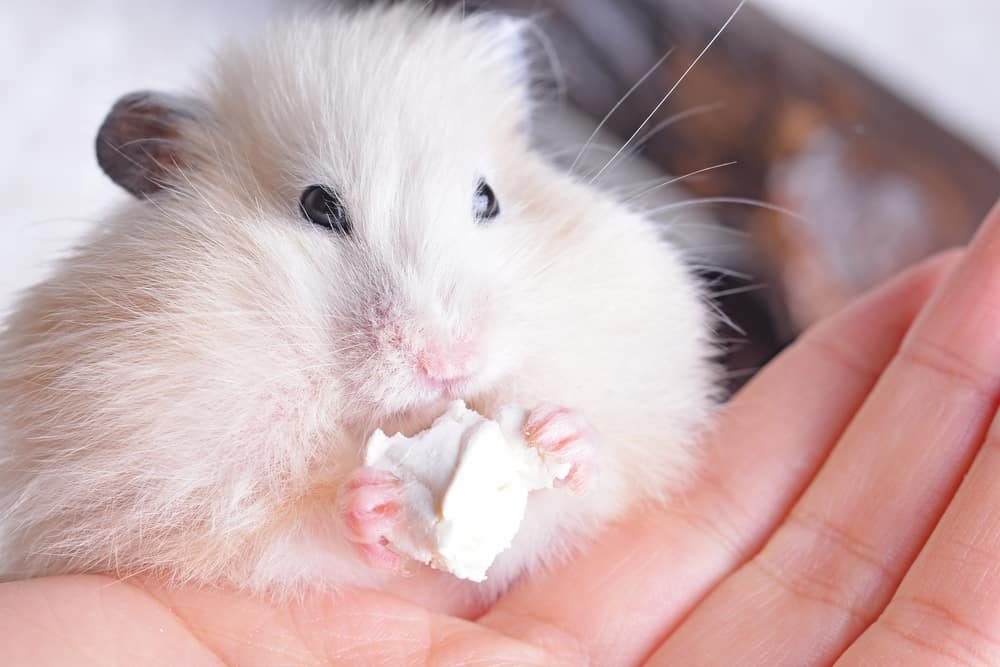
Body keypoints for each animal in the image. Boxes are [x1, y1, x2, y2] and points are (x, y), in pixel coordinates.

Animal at [0, 4, 717, 612]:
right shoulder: (156, 496)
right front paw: (371, 505)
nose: (449, 363)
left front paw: (560, 434)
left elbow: (573, 495)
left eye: (488, 199)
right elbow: (283, 533)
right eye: (319, 206)